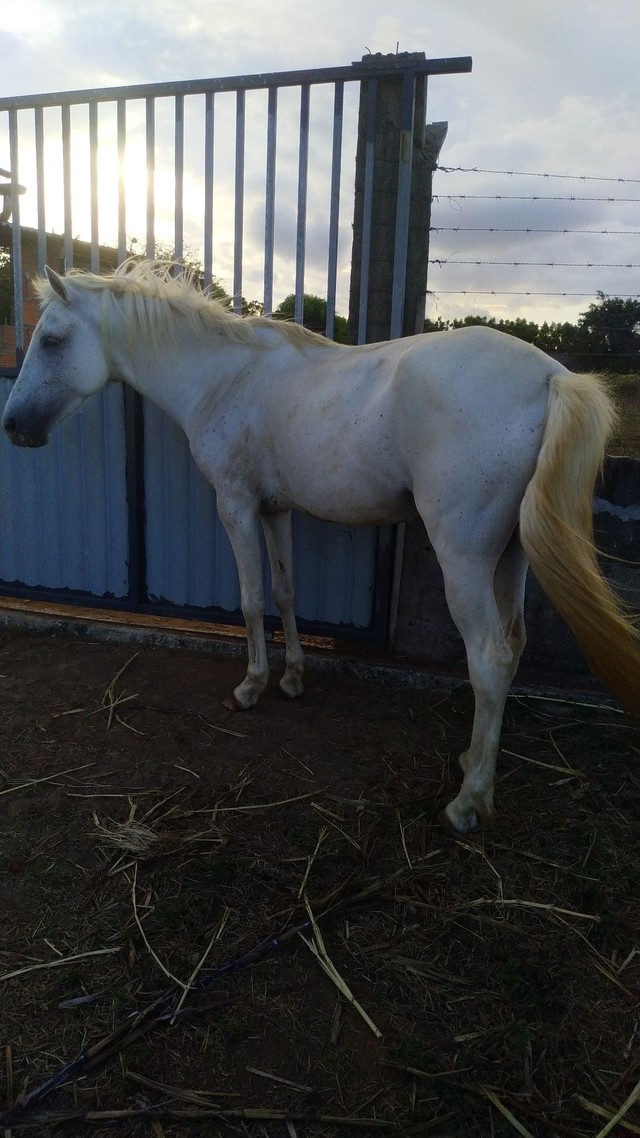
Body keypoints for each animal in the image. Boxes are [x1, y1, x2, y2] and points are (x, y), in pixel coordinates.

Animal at [2, 266, 633, 837]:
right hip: (510, 556)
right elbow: (285, 591)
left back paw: (469, 801)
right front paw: (293, 679)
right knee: (514, 643)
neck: (224, 376)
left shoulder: (236, 504)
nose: (13, 426)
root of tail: (550, 375)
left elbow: (252, 599)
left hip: (464, 559)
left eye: (52, 339)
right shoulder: (275, 510)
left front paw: (251, 687)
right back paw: (472, 761)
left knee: (489, 658)